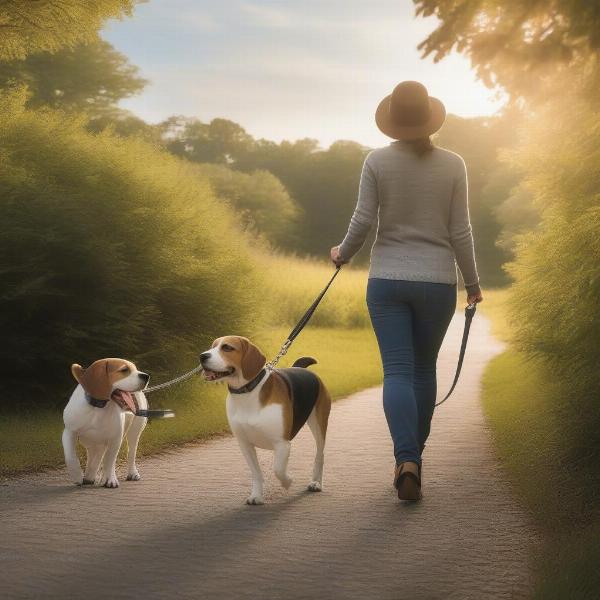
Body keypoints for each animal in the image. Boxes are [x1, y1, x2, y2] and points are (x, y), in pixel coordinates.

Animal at [61, 356, 150, 488]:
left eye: (135, 368)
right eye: (124, 370)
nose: (146, 376)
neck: (98, 407)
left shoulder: (115, 439)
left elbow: (109, 461)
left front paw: (110, 479)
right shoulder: (69, 431)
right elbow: (70, 456)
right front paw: (77, 476)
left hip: (134, 432)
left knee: (130, 453)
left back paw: (131, 473)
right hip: (95, 443)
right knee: (95, 458)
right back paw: (90, 476)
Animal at [199, 336, 330, 504]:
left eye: (227, 347)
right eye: (212, 346)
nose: (202, 356)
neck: (248, 393)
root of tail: (303, 369)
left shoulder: (282, 443)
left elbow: (278, 469)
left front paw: (288, 482)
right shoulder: (245, 444)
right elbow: (256, 473)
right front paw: (256, 496)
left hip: (319, 424)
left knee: (320, 455)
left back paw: (316, 483)